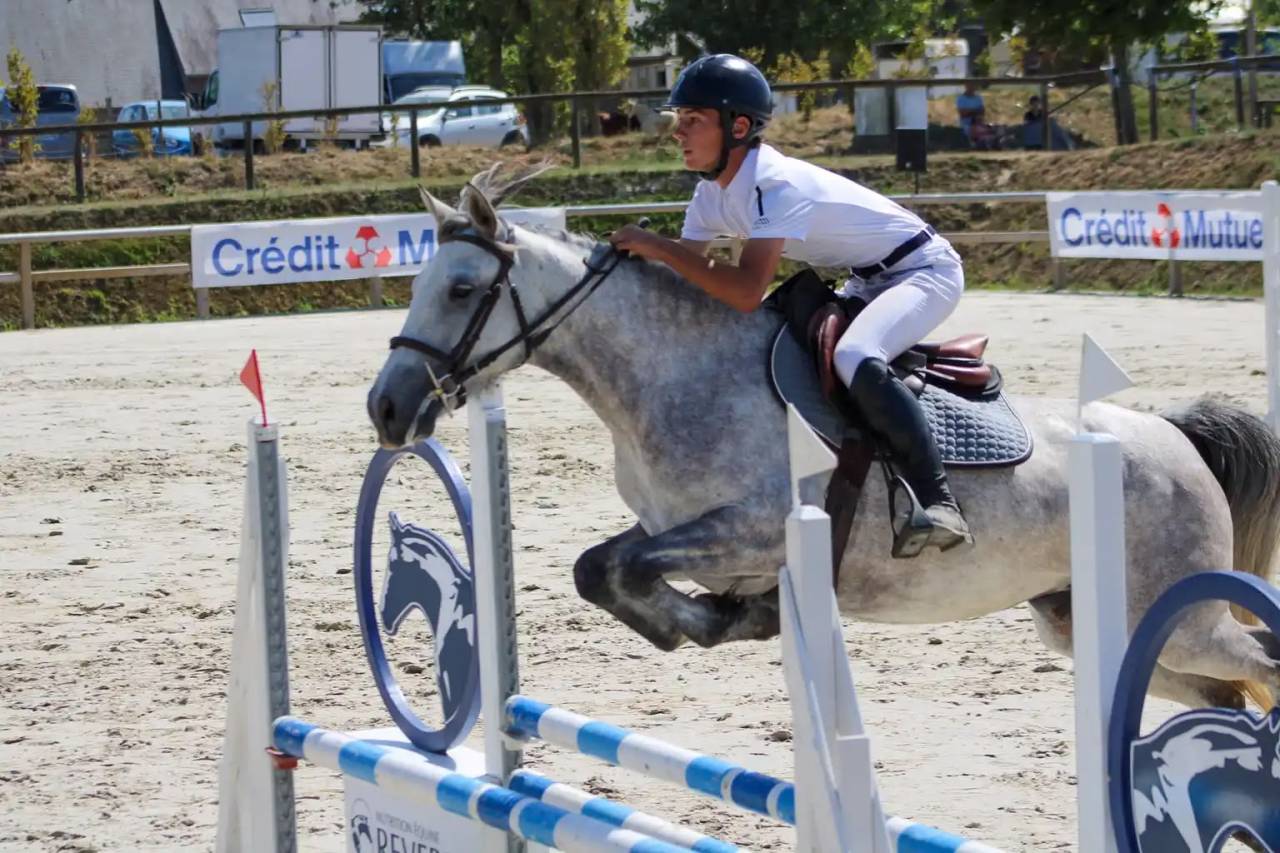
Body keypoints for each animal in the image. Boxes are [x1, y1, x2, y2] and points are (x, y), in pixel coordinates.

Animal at [366, 166, 1280, 712]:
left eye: (461, 288)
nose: (386, 409)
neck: (672, 374)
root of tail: (1175, 436)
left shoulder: (757, 528)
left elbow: (616, 568)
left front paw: (730, 618)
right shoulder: (672, 528)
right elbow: (602, 567)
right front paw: (711, 621)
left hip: (1178, 617)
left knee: (1261, 662)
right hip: (1107, 628)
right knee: (1228, 692)